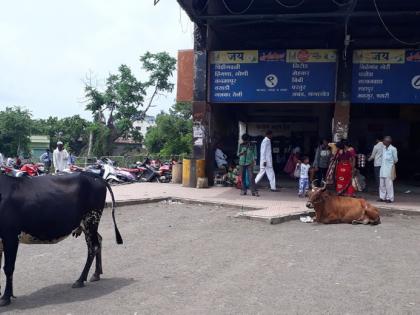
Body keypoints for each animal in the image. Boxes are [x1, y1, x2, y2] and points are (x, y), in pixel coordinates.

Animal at [0, 172, 124, 308]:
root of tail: (93, 175)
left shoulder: (10, 236)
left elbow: (8, 268)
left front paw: (6, 297)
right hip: (88, 225)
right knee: (99, 241)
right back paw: (96, 274)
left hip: (91, 219)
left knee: (93, 247)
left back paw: (80, 280)